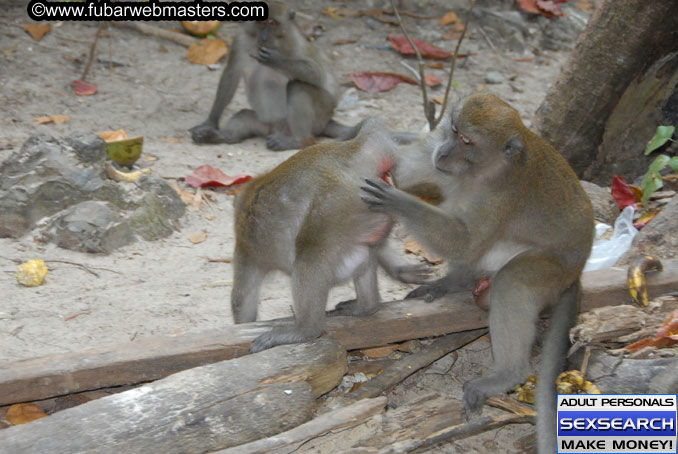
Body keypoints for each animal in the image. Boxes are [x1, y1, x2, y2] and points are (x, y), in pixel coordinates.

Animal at [186, 0, 356, 152]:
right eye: (261, 22)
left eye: (272, 23)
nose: (263, 37)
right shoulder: (241, 38)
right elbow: (231, 74)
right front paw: (210, 123)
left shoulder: (296, 42)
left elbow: (316, 73)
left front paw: (274, 59)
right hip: (263, 124)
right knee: (244, 116)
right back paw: (221, 136)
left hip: (319, 118)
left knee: (298, 86)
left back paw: (298, 141)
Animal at [228, 119, 430, 352]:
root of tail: (353, 155)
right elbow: (379, 247)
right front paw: (401, 270)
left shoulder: (247, 250)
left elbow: (242, 299)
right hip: (366, 204)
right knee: (367, 250)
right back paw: (367, 306)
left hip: (336, 203)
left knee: (310, 250)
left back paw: (306, 330)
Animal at [362, 93, 596, 454]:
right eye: (454, 130)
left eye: (467, 142)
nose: (444, 151)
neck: (481, 173)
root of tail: (578, 270)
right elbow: (408, 167)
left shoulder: (500, 198)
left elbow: (465, 243)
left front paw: (399, 201)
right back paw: (453, 283)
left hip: (554, 271)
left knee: (511, 281)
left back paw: (510, 374)